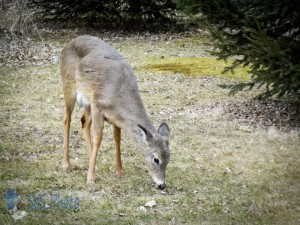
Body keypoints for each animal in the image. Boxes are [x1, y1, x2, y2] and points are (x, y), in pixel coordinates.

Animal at [59, 35, 170, 190]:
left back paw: (93, 163)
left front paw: (119, 171)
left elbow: (117, 139)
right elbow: (98, 137)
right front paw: (90, 178)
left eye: (169, 158)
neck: (119, 94)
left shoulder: (115, 117)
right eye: (156, 159)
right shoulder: (98, 105)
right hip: (68, 86)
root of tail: (69, 43)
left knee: (83, 122)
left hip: (87, 102)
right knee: (67, 120)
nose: (162, 185)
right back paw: (66, 164)